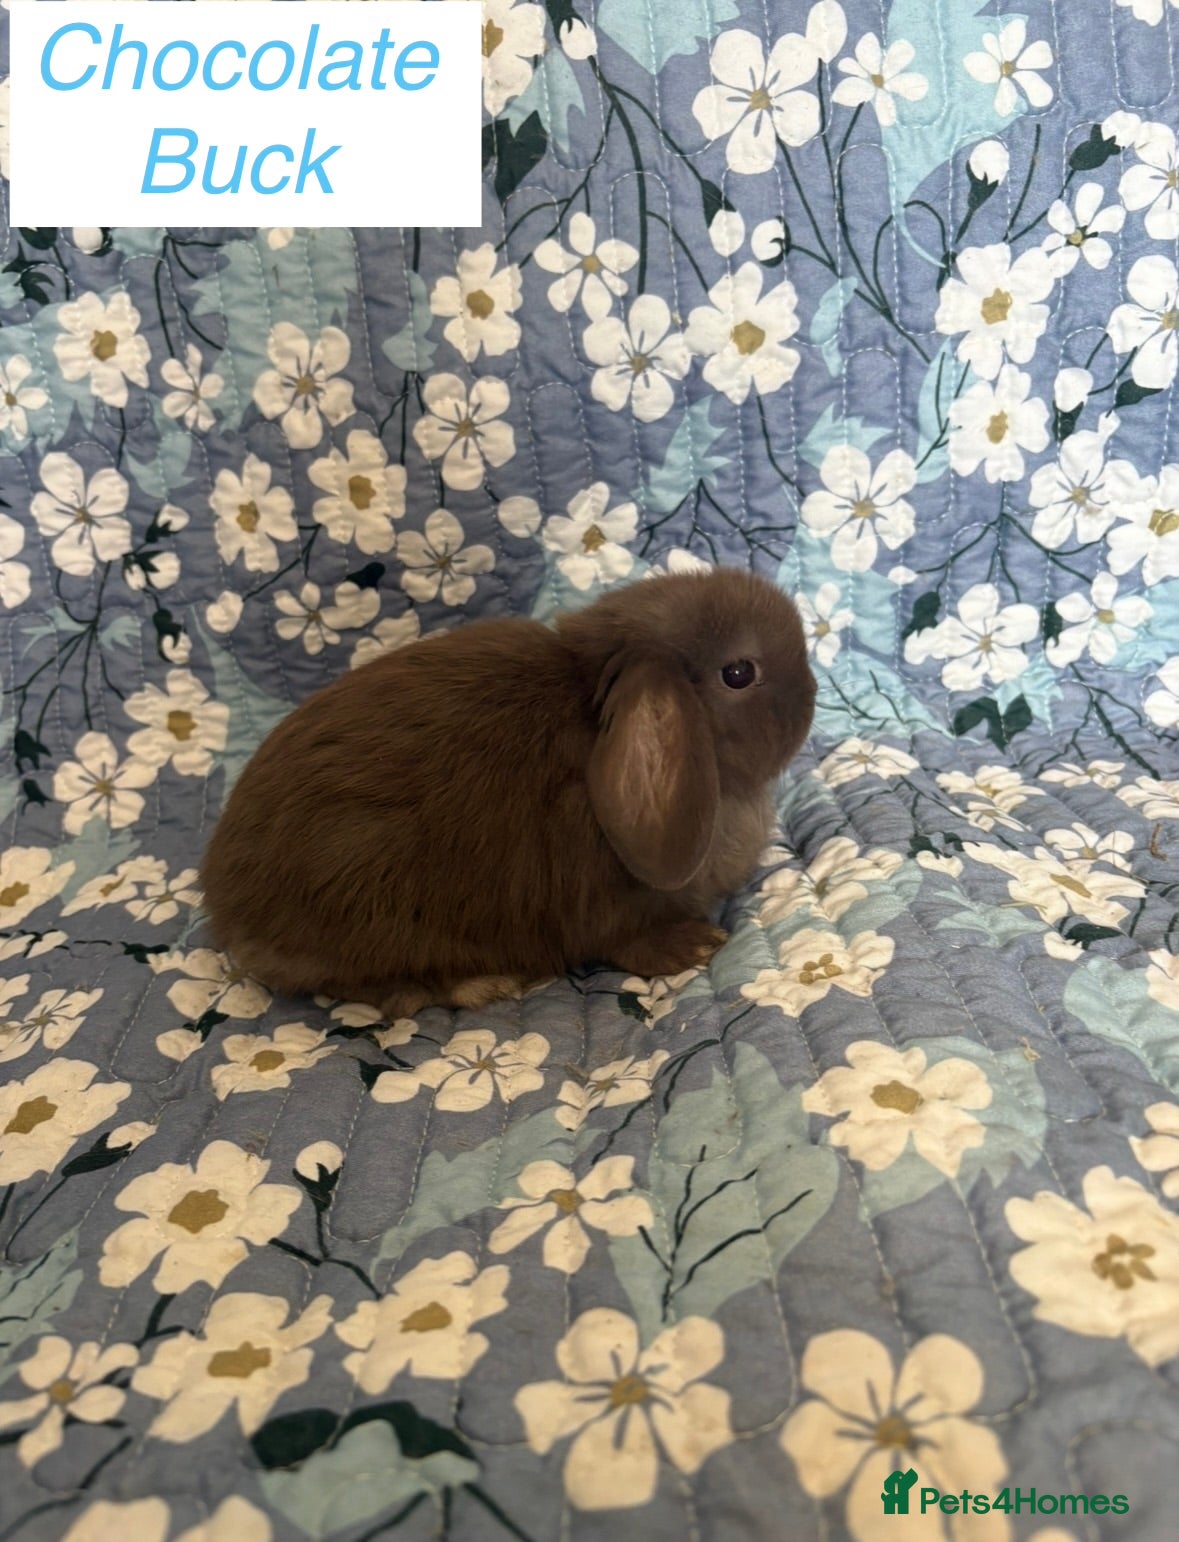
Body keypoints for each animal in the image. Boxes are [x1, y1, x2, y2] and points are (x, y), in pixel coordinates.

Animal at [200, 566, 816, 1015]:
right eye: (738, 674)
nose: (813, 697)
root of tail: (227, 911)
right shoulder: (600, 905)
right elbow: (625, 941)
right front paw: (694, 944)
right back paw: (478, 984)